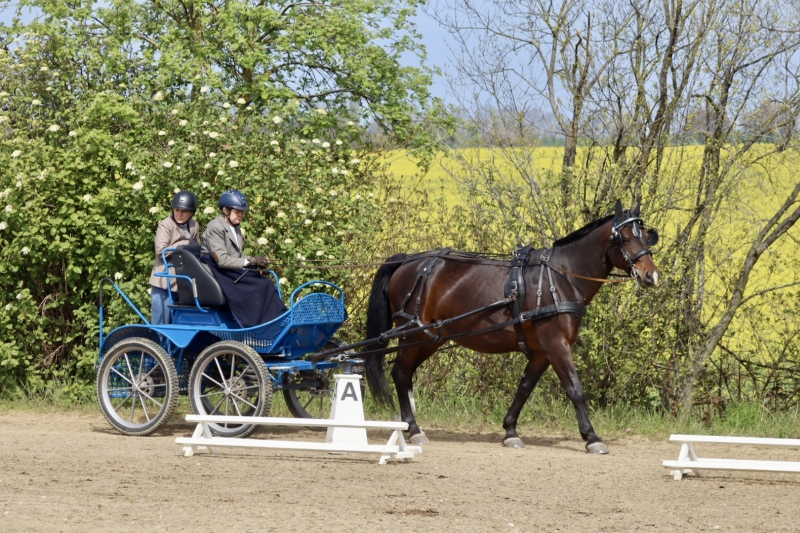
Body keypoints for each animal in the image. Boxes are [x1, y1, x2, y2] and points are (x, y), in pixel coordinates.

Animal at [363, 200, 660, 454]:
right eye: (624, 238)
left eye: (647, 237)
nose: (651, 275)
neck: (560, 278)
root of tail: (407, 260)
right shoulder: (556, 344)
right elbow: (575, 388)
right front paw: (592, 437)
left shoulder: (541, 351)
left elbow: (524, 388)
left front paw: (510, 431)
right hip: (412, 334)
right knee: (401, 374)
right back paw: (414, 429)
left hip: (430, 338)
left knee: (405, 374)